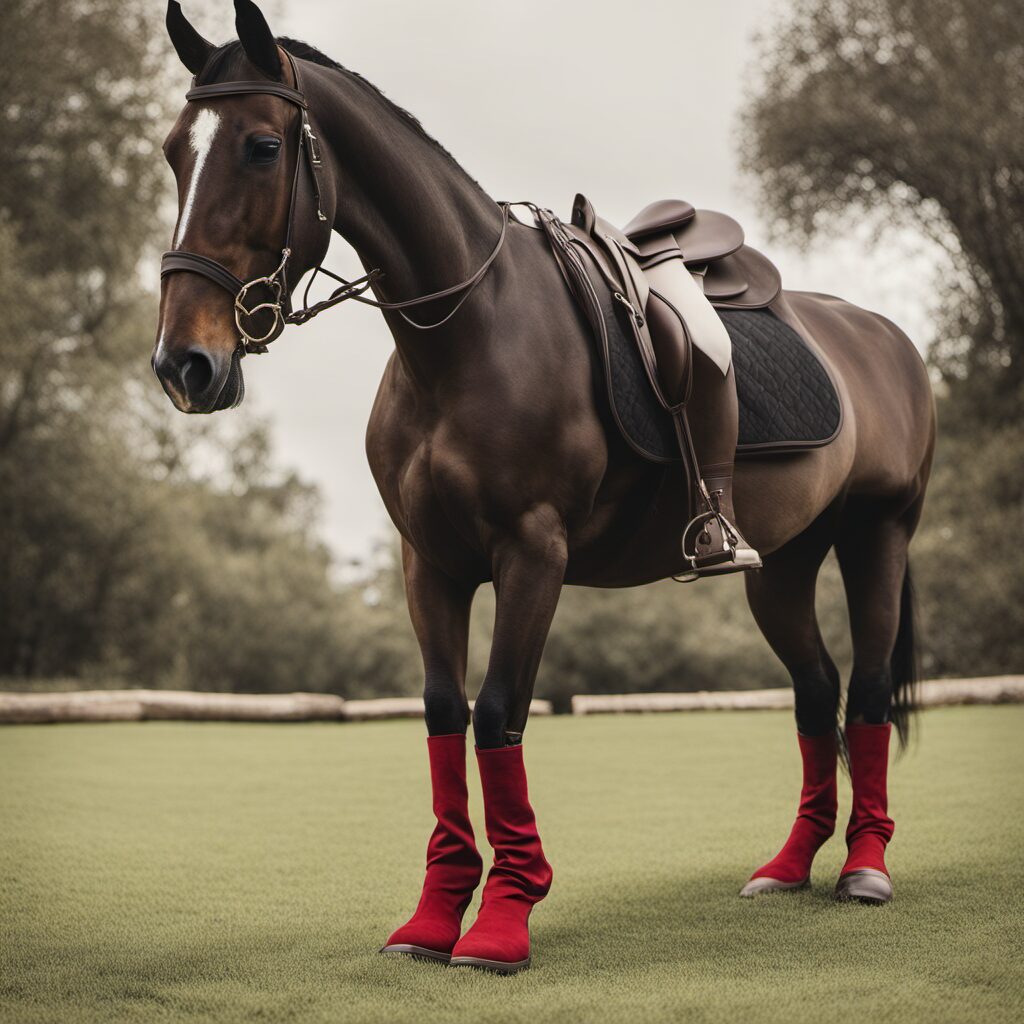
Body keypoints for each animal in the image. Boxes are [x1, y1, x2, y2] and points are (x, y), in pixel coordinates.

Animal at [154, 0, 936, 973]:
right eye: (173, 152)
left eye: (262, 147)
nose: (183, 364)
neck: (464, 336)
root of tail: (886, 337)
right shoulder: (430, 563)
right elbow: (443, 716)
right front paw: (434, 916)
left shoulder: (534, 552)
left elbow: (499, 715)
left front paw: (503, 918)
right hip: (782, 562)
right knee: (816, 691)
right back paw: (790, 866)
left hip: (878, 535)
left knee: (864, 691)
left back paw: (865, 868)